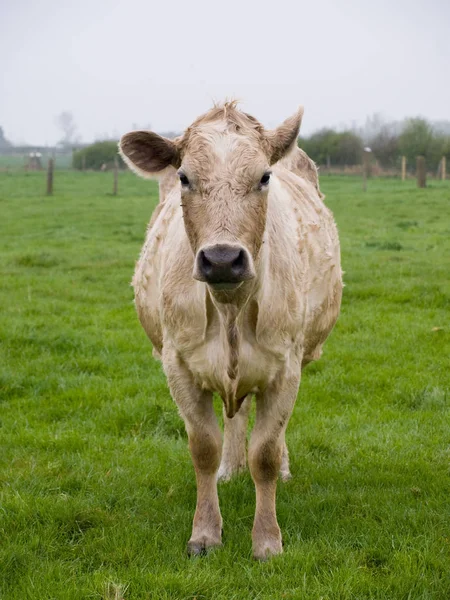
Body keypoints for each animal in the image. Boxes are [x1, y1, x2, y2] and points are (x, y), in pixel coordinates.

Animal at [119, 101, 342, 560]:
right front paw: (205, 533)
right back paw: (230, 467)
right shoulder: (179, 367)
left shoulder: (286, 368)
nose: (222, 259)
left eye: (264, 177)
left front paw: (267, 540)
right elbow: (203, 448)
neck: (230, 310)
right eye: (185, 177)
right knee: (234, 415)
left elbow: (266, 454)